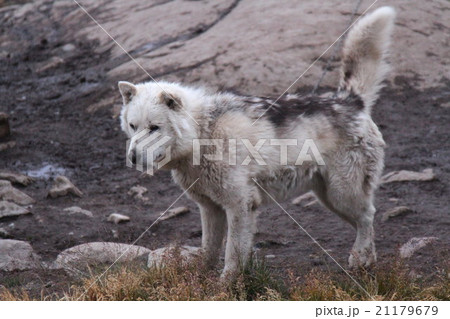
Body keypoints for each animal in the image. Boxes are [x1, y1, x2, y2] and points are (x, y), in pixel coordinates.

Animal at [118, 6, 396, 278]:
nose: (132, 157)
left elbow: (233, 253)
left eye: (154, 128)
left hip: (341, 194)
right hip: (329, 198)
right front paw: (201, 280)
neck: (204, 133)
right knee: (363, 220)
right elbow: (209, 250)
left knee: (368, 217)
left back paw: (360, 259)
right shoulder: (210, 209)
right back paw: (365, 260)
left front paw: (226, 285)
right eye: (133, 126)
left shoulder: (240, 205)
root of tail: (351, 100)